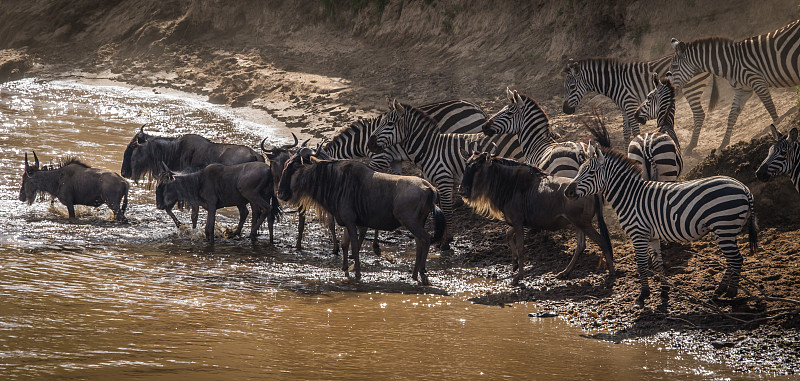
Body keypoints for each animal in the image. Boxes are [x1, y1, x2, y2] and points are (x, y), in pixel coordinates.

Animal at [368, 99, 520, 251]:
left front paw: (446, 242)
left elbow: (447, 210)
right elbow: (441, 210)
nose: (370, 144)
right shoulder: (437, 183)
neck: (429, 149)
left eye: (389, 123)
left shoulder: (444, 178)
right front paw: (443, 239)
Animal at [560, 55, 716, 148]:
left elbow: (635, 131)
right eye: (565, 88)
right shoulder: (623, 108)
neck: (615, 82)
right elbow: (625, 132)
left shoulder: (630, 105)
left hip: (692, 88)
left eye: (572, 87)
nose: (565, 110)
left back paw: (690, 147)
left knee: (699, 114)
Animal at [564, 123, 760, 308]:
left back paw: (731, 292)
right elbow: (658, 262)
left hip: (724, 226)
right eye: (579, 170)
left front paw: (642, 295)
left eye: (591, 172)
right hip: (726, 229)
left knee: (736, 259)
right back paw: (720, 290)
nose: (567, 192)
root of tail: (743, 188)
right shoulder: (652, 236)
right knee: (732, 260)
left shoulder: (638, 234)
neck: (630, 196)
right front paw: (664, 291)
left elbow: (642, 264)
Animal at [668, 18, 800, 150]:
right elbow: (731, 116)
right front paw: (723, 145)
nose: (672, 91)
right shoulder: (742, 91)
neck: (731, 63)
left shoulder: (757, 82)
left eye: (674, 67)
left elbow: (770, 108)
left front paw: (778, 126)